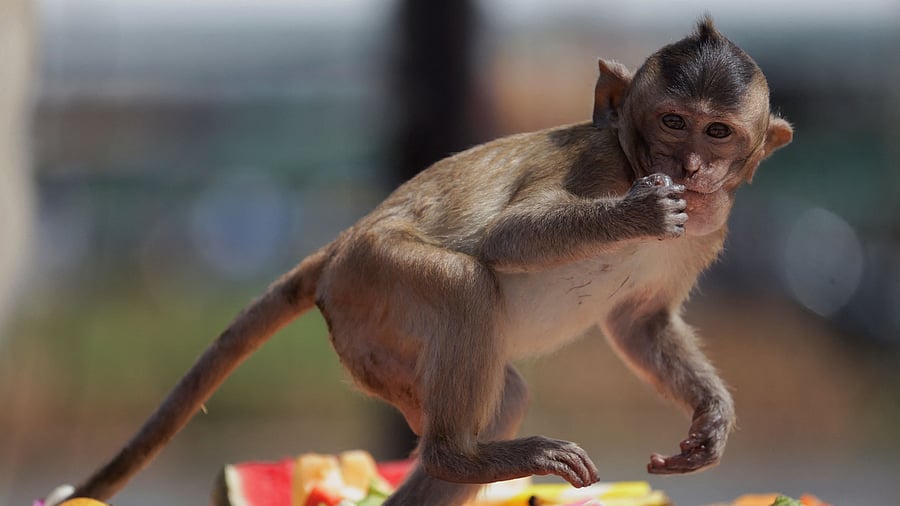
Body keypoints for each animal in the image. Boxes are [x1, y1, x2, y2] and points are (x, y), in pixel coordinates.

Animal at [47, 16, 792, 506]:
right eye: (672, 121)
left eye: (717, 131)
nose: (688, 166)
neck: (638, 164)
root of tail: (339, 247)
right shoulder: (600, 166)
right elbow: (507, 240)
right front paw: (638, 215)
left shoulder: (708, 230)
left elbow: (640, 324)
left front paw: (711, 419)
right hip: (373, 281)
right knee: (463, 283)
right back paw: (456, 455)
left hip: (375, 342)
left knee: (503, 392)